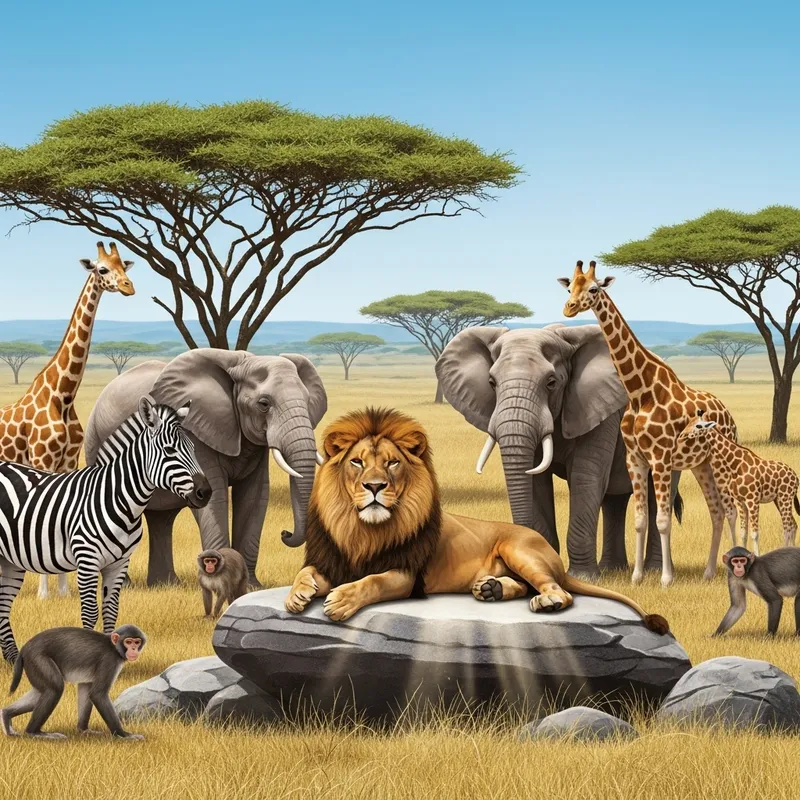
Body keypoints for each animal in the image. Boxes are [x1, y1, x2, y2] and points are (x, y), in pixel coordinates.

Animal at [286, 407, 669, 634]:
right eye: (357, 462)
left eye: (392, 463)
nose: (375, 486)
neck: (362, 530)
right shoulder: (331, 559)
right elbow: (305, 572)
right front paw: (297, 596)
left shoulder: (407, 575)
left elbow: (372, 582)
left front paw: (341, 601)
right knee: (526, 585)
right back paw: (491, 589)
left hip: (519, 550)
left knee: (557, 590)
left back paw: (544, 601)